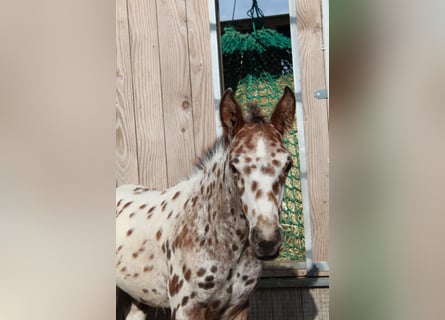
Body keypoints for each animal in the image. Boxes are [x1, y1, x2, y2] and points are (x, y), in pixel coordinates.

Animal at [116, 86, 294, 318]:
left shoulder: (238, 308)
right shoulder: (187, 309)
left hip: (137, 299)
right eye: (234, 166)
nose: (266, 241)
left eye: (287, 165)